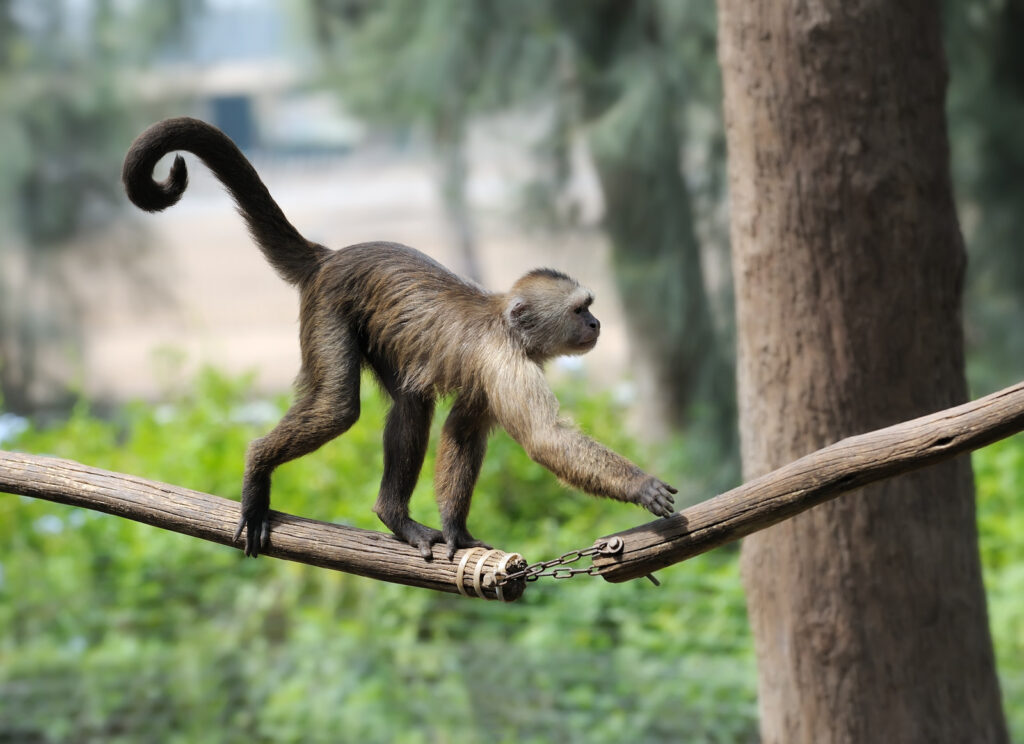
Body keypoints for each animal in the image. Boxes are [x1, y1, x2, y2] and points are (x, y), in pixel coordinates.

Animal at [121, 116, 679, 556]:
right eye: (581, 309)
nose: (596, 324)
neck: (505, 325)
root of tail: (329, 256)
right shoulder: (505, 361)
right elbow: (545, 438)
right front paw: (640, 485)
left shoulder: (495, 370)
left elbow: (463, 431)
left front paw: (456, 528)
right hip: (329, 307)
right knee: (338, 407)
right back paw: (259, 466)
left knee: (412, 402)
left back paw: (394, 517)